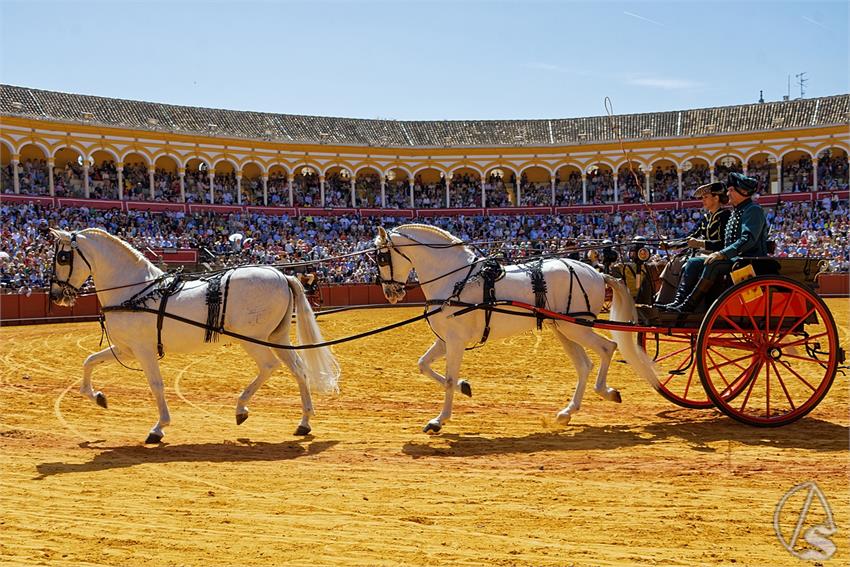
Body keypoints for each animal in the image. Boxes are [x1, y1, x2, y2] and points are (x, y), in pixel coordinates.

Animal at [48, 229, 338, 442]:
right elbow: (89, 361)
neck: (134, 290)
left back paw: (241, 408)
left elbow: (156, 384)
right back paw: (304, 422)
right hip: (277, 337)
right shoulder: (125, 349)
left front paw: (158, 428)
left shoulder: (143, 351)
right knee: (299, 370)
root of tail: (281, 275)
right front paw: (97, 397)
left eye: (62, 258)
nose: (55, 296)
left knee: (269, 366)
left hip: (252, 339)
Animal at [374, 224, 660, 432]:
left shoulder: (455, 341)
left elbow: (449, 379)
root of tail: (597, 272)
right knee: (584, 365)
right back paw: (567, 412)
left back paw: (606, 392)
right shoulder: (445, 340)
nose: (391, 293)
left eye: (381, 257)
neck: (455, 278)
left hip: (577, 326)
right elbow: (423, 365)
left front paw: (438, 420)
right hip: (562, 328)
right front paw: (465, 388)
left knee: (608, 347)